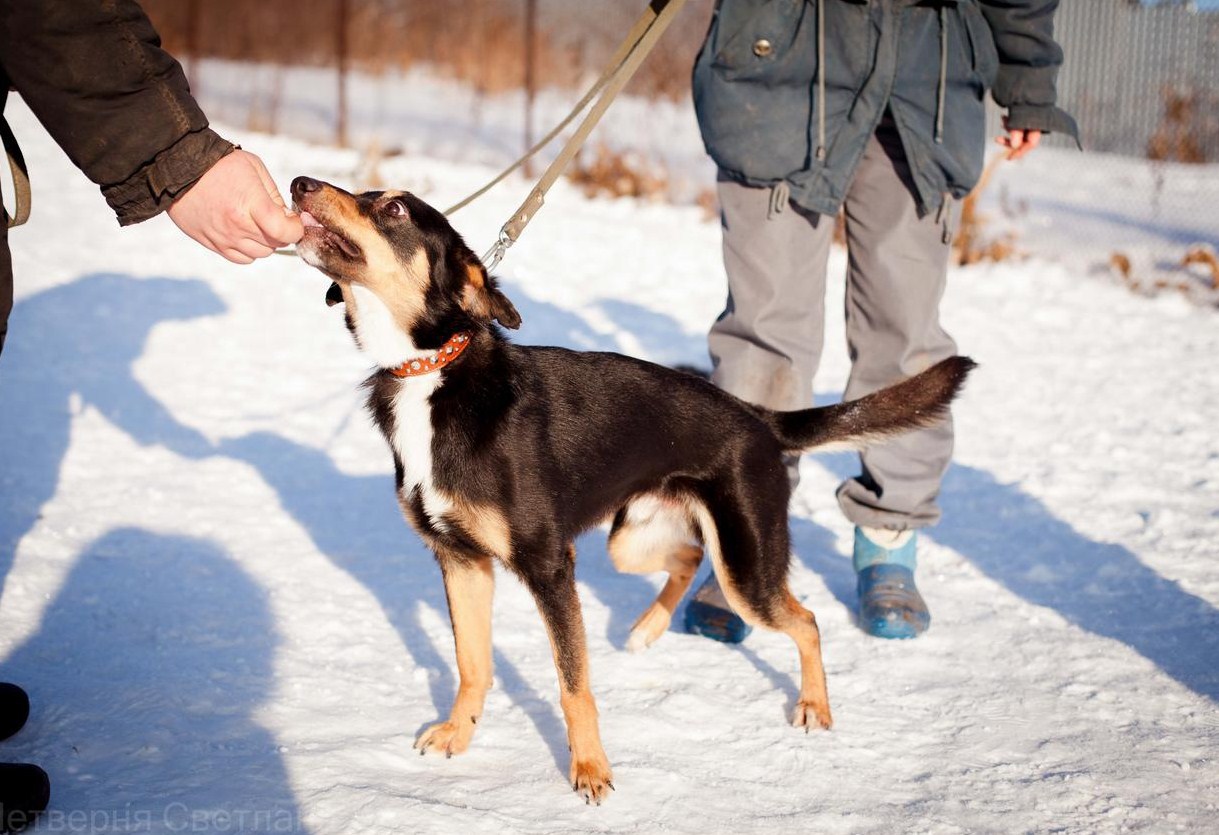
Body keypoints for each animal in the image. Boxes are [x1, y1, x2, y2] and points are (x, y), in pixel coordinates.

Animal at [290, 174, 975, 799]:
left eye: (394, 209)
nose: (298, 183)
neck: (430, 373)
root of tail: (756, 415)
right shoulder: (461, 561)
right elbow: (471, 664)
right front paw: (460, 735)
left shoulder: (549, 567)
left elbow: (573, 686)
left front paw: (591, 771)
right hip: (633, 540)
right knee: (690, 557)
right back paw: (648, 630)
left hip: (745, 566)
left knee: (804, 620)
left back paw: (813, 707)